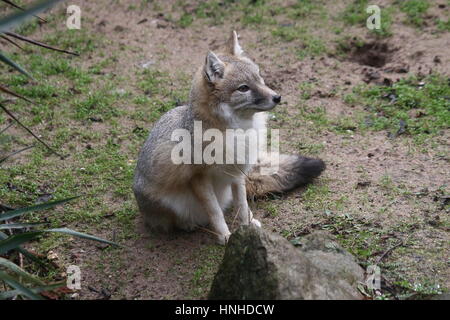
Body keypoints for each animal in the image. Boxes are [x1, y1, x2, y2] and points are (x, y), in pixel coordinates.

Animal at [132, 31, 326, 244]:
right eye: (243, 88)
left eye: (260, 77)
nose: (277, 97)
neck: (237, 132)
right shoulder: (199, 178)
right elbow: (215, 211)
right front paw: (225, 236)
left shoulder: (237, 172)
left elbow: (242, 203)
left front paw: (247, 225)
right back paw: (187, 223)